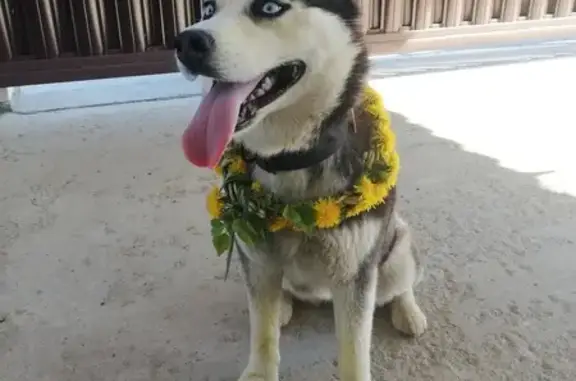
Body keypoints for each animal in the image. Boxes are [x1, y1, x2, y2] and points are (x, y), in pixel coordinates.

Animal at [173, 0, 426, 380]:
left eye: (269, 7)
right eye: (206, 9)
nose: (187, 42)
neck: (293, 158)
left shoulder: (355, 275)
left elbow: (354, 351)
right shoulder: (257, 259)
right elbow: (262, 332)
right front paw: (260, 370)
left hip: (394, 247)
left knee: (403, 278)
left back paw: (408, 311)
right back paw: (282, 306)